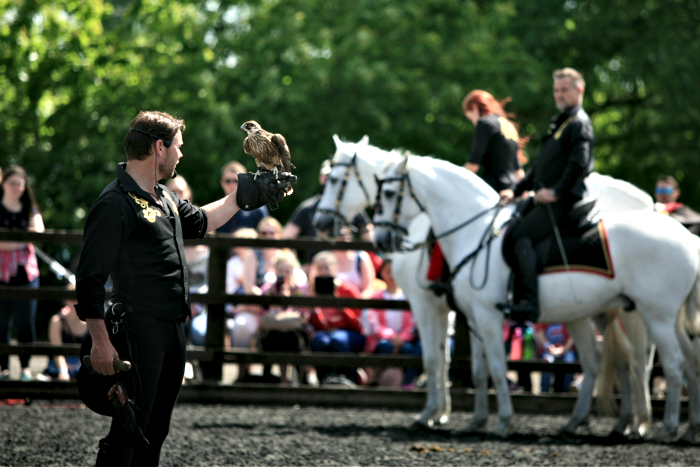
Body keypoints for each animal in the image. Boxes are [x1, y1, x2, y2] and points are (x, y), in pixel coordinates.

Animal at [314, 136, 660, 438]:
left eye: (334, 180)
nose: (320, 222)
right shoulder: (458, 311)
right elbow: (458, 363)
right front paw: (451, 415)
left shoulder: (428, 305)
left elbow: (438, 359)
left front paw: (432, 414)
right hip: (599, 312)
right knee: (619, 359)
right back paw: (617, 422)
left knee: (634, 360)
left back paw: (633, 421)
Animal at [374, 155, 700, 440]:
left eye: (388, 193)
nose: (380, 241)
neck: (475, 234)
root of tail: (687, 237)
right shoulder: (475, 318)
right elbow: (479, 371)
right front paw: (476, 421)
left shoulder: (478, 315)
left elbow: (493, 367)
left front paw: (501, 421)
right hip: (656, 319)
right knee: (677, 362)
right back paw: (676, 429)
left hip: (656, 316)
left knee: (670, 364)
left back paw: (666, 428)